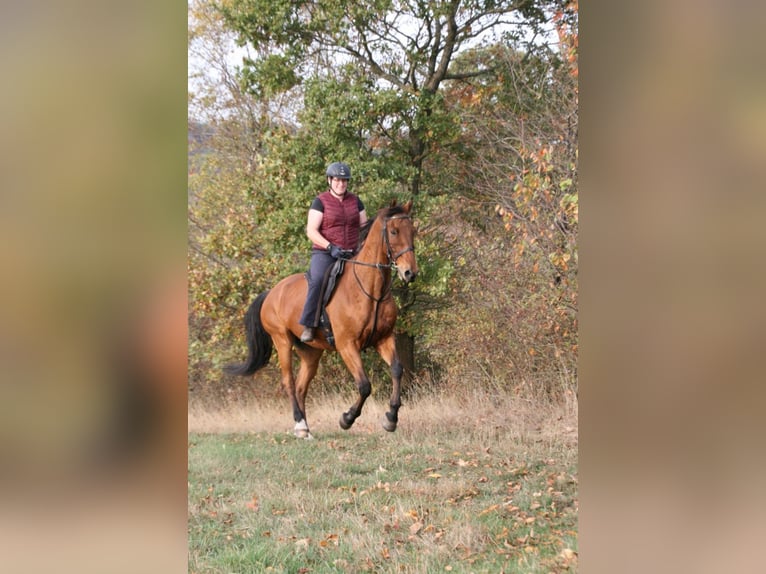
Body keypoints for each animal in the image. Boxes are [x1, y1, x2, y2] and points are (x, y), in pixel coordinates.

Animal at [224, 200, 418, 438]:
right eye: (393, 231)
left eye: (413, 231)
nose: (410, 273)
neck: (371, 290)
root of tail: (271, 292)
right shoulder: (347, 345)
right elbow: (364, 385)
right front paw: (347, 419)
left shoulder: (384, 339)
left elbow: (397, 370)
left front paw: (391, 418)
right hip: (281, 340)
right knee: (289, 382)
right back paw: (299, 424)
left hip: (311, 352)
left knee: (301, 386)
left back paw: (305, 428)